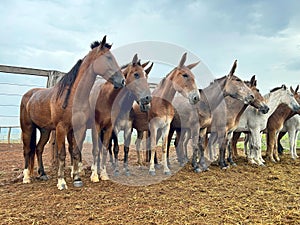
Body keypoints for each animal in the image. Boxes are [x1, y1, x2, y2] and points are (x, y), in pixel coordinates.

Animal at [19, 35, 125, 190]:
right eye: (108, 57)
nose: (122, 81)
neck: (73, 97)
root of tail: (28, 95)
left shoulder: (78, 128)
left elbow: (75, 151)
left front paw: (77, 178)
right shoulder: (61, 128)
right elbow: (62, 154)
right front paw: (62, 182)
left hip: (45, 130)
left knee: (38, 148)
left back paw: (43, 174)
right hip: (27, 128)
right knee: (27, 150)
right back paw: (26, 177)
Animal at [88, 53, 151, 182]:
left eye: (146, 76)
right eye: (136, 74)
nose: (147, 99)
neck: (106, 98)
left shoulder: (118, 128)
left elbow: (113, 148)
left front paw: (106, 173)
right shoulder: (104, 128)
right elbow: (103, 149)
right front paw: (95, 175)